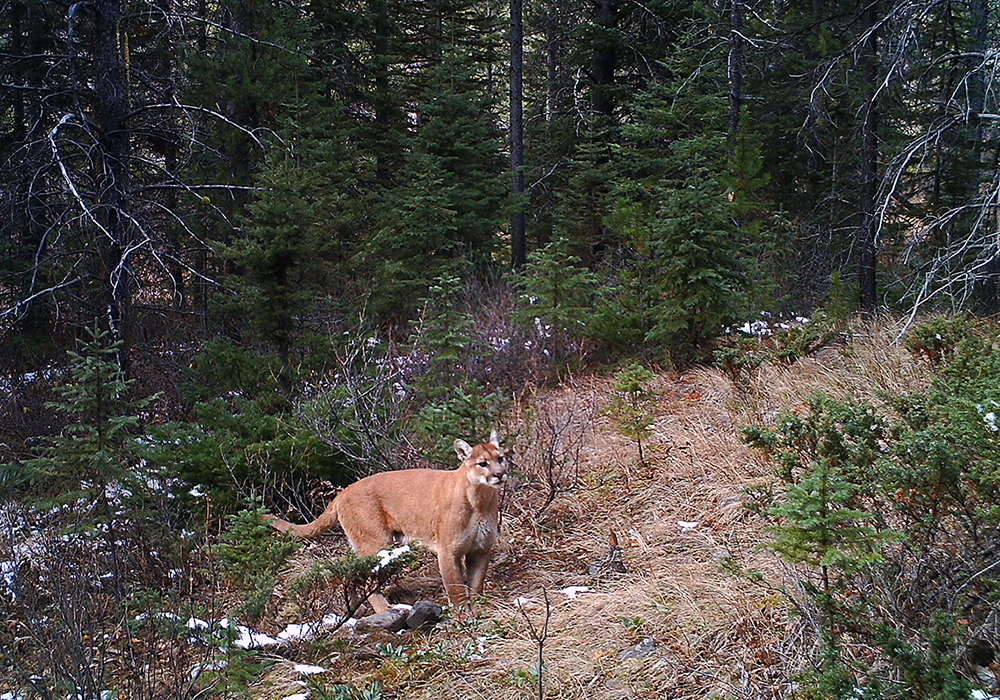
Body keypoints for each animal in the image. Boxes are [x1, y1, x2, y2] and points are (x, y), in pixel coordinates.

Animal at [268, 431, 508, 613]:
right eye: (482, 463)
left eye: (501, 458)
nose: (500, 474)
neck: (480, 499)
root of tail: (342, 492)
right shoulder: (448, 550)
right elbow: (456, 587)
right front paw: (463, 616)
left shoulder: (481, 549)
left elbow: (476, 583)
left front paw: (479, 608)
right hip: (377, 543)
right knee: (368, 580)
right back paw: (387, 609)